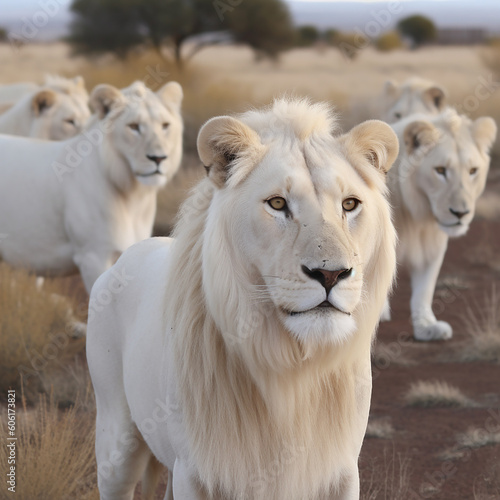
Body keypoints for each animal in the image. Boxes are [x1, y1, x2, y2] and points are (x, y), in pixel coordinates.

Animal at [85, 98, 398, 500]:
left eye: (349, 204)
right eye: (277, 203)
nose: (331, 274)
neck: (291, 368)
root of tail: (125, 258)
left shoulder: (340, 470)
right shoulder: (196, 471)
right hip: (116, 442)